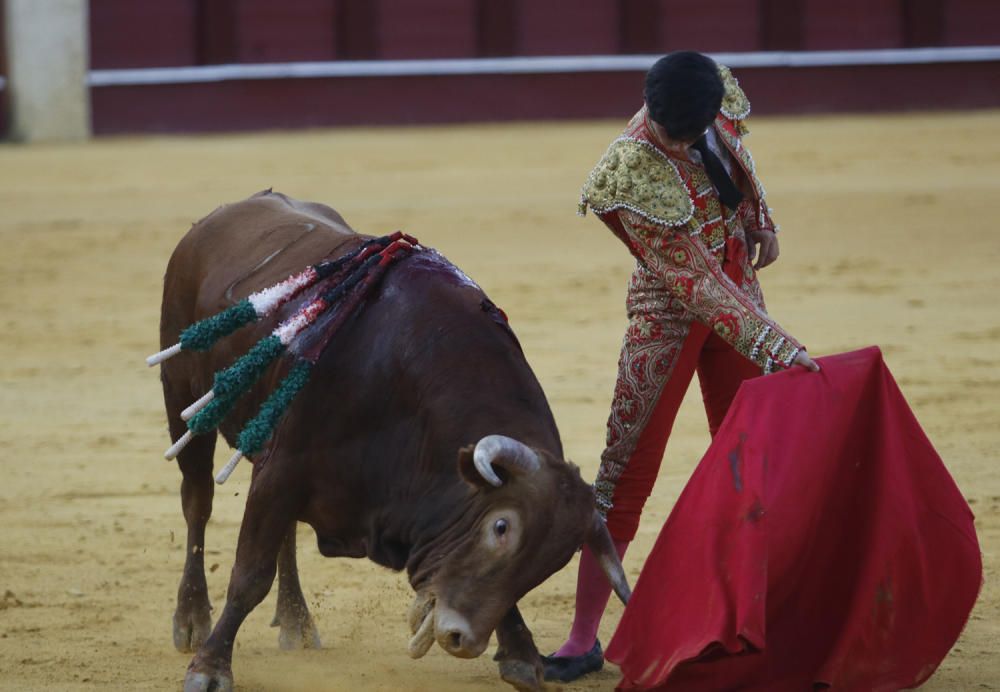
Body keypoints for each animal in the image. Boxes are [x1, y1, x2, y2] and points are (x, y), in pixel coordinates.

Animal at [153, 191, 628, 692]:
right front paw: (209, 668)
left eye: (553, 562)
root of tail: (222, 214)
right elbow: (249, 575)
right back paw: (191, 618)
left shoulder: (287, 474)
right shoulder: (283, 468)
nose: (462, 638)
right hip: (182, 396)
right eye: (500, 527)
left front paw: (520, 653)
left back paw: (296, 620)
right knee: (197, 502)